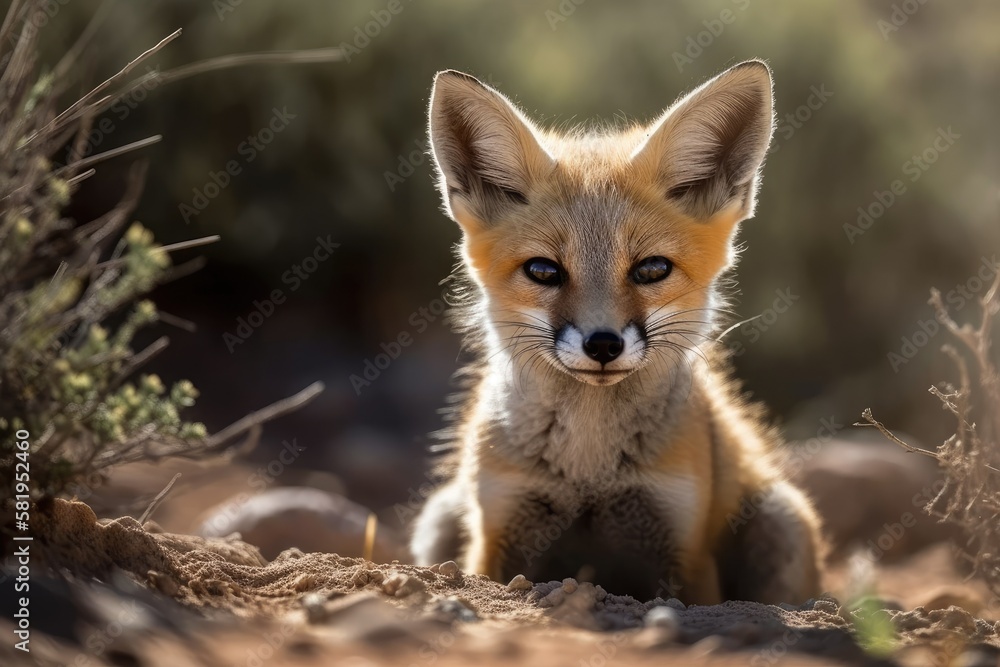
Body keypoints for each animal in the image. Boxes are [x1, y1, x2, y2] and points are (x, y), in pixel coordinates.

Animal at [409, 60, 824, 605]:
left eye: (651, 269)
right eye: (543, 271)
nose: (603, 344)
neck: (590, 468)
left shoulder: (680, 545)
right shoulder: (499, 533)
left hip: (782, 520)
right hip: (438, 516)